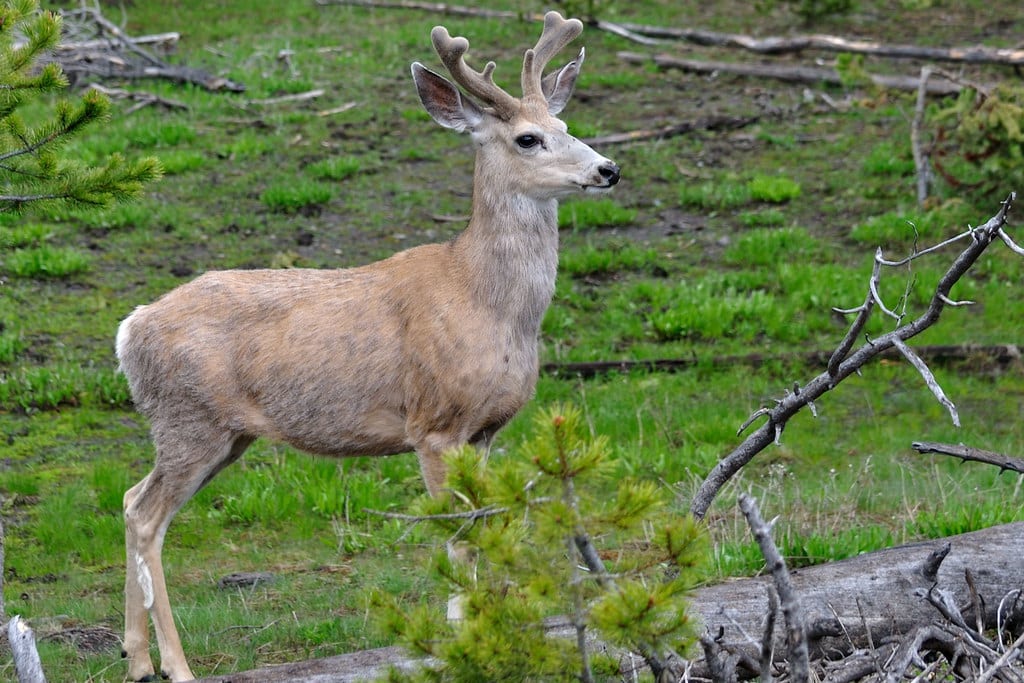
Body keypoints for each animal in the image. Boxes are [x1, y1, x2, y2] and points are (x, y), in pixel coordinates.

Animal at [115, 11, 619, 682]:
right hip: (190, 419)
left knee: (130, 500)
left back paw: (137, 658)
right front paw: (460, 639)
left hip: (214, 431)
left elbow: (485, 526)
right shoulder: (434, 423)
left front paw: (493, 632)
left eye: (566, 126)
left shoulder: (486, 430)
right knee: (148, 519)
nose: (607, 168)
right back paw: (177, 665)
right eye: (528, 139)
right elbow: (456, 534)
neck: (485, 301)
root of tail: (130, 328)